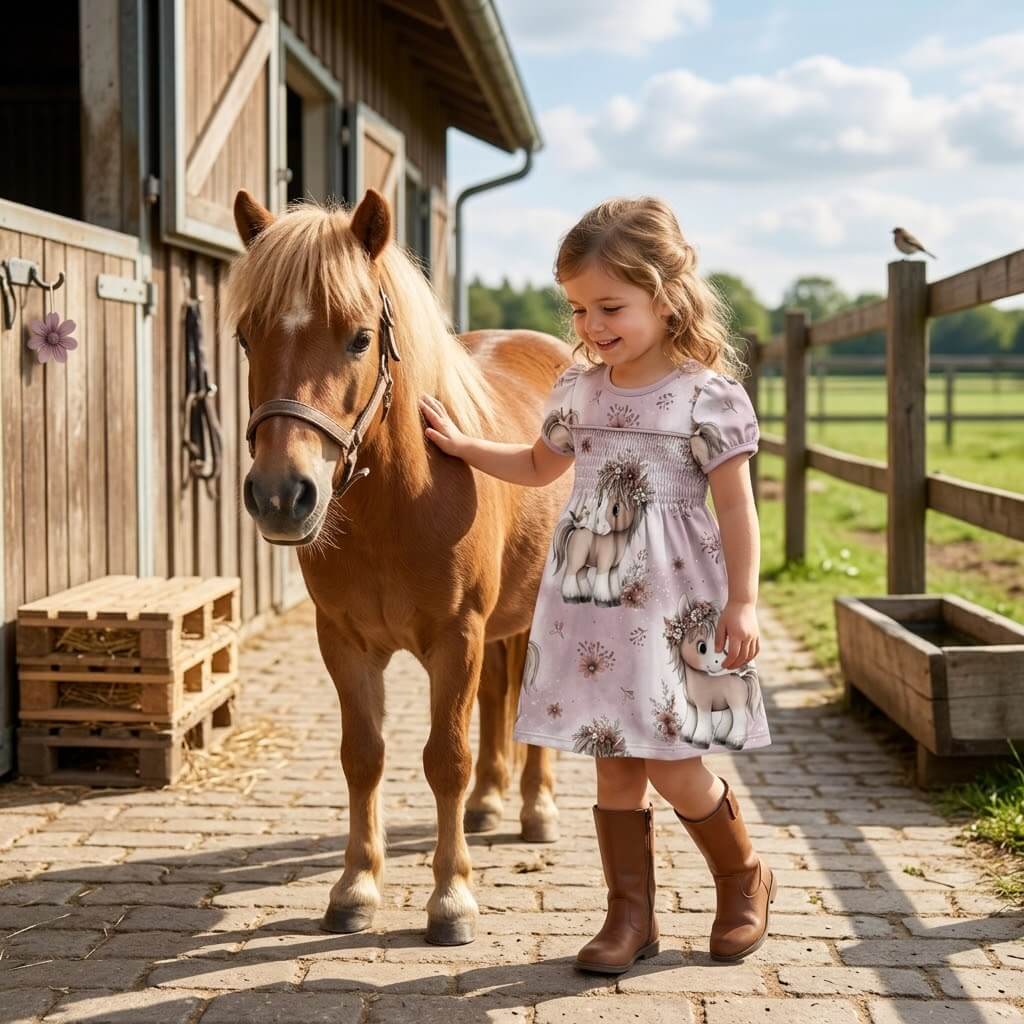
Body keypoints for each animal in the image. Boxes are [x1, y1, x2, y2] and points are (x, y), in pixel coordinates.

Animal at [225, 187, 570, 945]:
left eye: (359, 338)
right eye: (245, 338)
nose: (280, 494)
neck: (397, 505)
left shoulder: (456, 638)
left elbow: (445, 759)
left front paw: (451, 899)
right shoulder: (345, 642)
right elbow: (364, 756)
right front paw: (356, 888)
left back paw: (537, 810)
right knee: (496, 699)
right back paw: (492, 801)